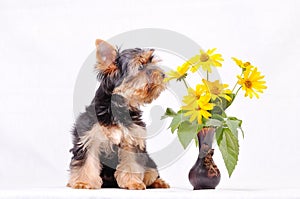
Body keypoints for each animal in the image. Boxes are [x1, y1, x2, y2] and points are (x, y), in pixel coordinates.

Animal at [68, 38, 170, 190]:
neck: (118, 107)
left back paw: (158, 182)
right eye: (141, 66)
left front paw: (133, 182)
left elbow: (131, 163)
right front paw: (83, 182)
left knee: (151, 171)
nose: (163, 75)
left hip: (149, 161)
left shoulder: (132, 138)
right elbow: (86, 162)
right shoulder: (89, 136)